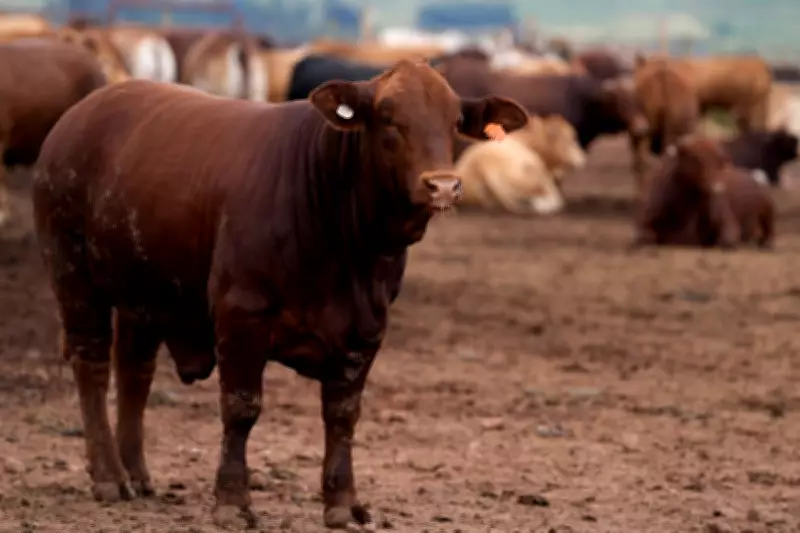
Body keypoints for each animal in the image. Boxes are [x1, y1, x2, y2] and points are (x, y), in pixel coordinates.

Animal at [32, 60, 528, 530]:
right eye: (388, 118)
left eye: (454, 120)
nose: (442, 185)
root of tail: (80, 113)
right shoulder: (241, 315)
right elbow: (241, 408)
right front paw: (233, 502)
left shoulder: (366, 331)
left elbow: (343, 416)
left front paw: (342, 503)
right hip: (73, 274)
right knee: (92, 366)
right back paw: (108, 476)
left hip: (144, 292)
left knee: (135, 370)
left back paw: (135, 472)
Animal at [633, 135, 774, 249]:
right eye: (697, 159)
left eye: (720, 162)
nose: (717, 187)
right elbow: (645, 235)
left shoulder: (725, 218)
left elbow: (727, 238)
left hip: (768, 209)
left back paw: (765, 243)